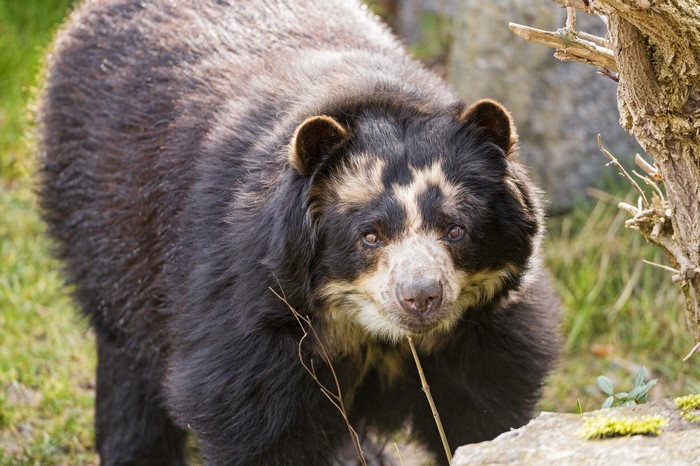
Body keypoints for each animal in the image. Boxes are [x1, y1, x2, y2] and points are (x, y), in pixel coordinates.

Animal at [38, 0, 561, 465]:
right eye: (370, 235)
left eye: (455, 229)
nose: (421, 296)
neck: (373, 333)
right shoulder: (250, 310)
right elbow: (251, 422)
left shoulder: (481, 335)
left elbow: (484, 409)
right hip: (105, 224)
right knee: (126, 362)